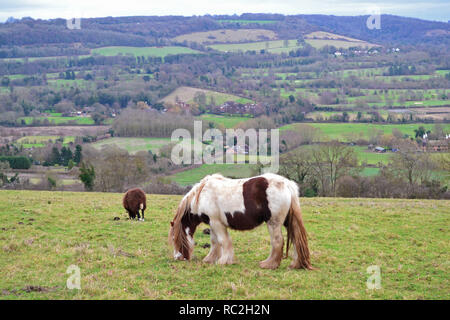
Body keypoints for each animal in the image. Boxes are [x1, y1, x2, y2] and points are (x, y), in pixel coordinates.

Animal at [169, 174, 312, 268]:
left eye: (174, 239)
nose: (178, 258)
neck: (202, 194)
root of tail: (287, 184)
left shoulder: (217, 223)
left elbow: (223, 241)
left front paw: (223, 261)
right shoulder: (212, 223)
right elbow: (214, 242)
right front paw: (210, 259)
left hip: (274, 223)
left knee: (277, 242)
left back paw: (268, 264)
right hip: (287, 222)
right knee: (295, 240)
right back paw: (295, 263)